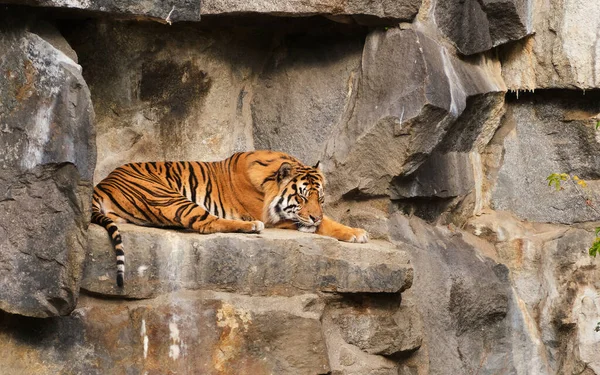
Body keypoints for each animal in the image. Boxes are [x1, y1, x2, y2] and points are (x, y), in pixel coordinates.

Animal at [91, 151, 368, 288]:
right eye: (301, 198)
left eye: (320, 198)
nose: (314, 215)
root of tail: (103, 183)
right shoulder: (270, 215)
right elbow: (325, 223)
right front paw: (357, 233)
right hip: (165, 195)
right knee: (205, 223)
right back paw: (251, 227)